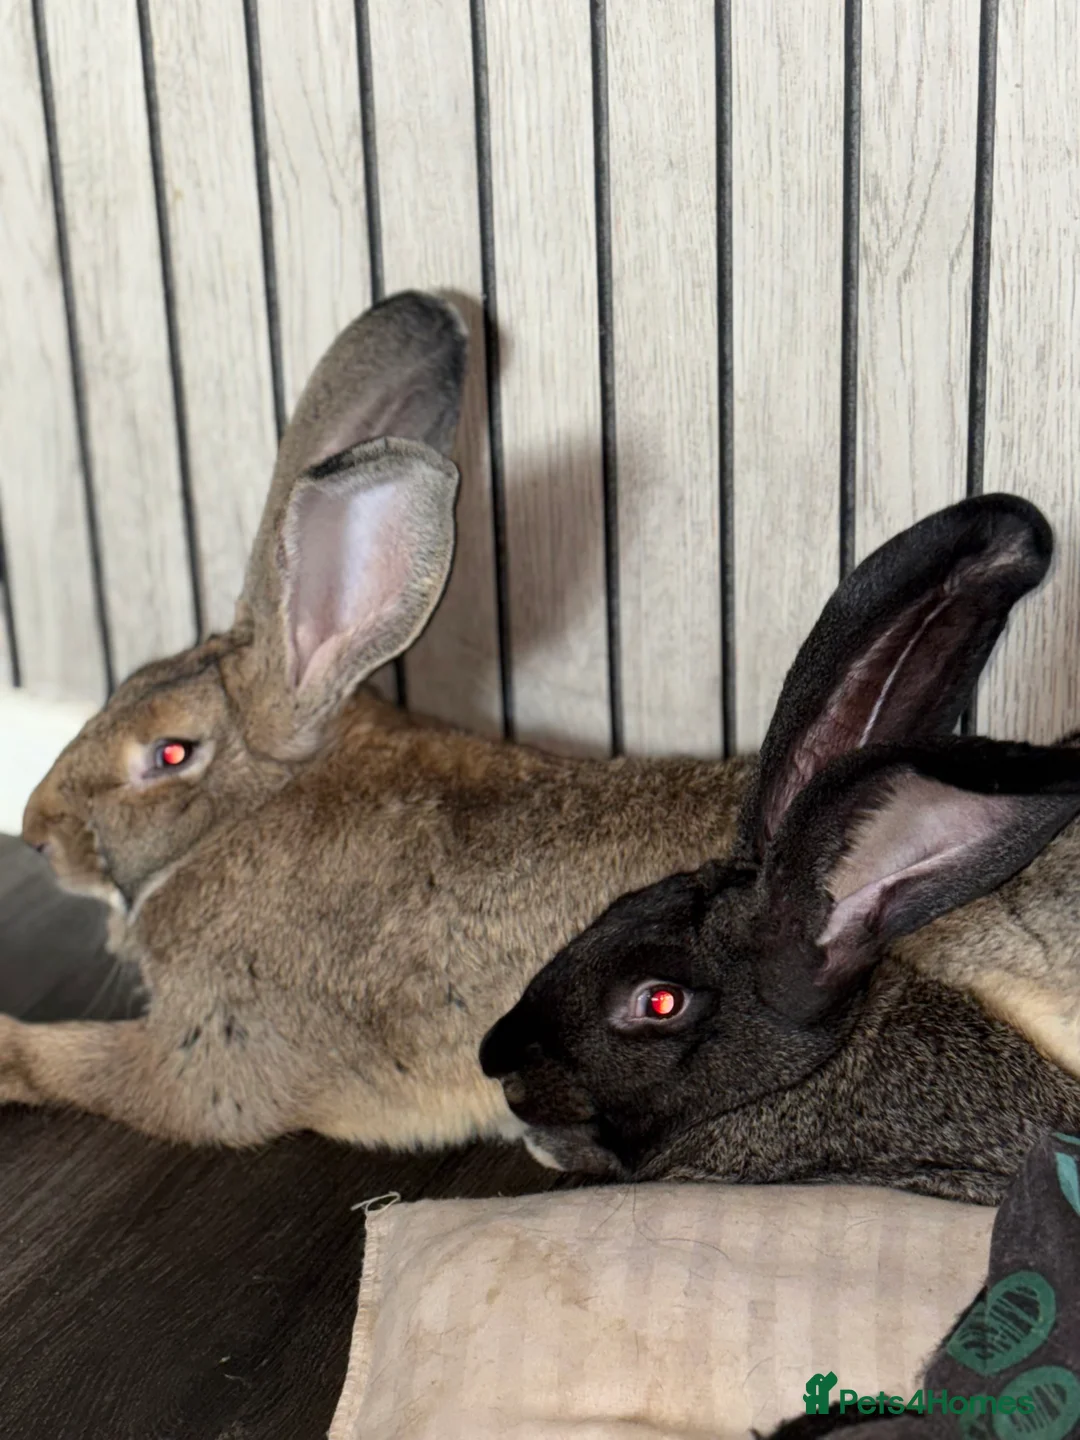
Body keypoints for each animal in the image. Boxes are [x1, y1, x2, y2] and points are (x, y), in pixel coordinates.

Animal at [9, 287, 1057, 1157]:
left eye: (169, 753)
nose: (37, 833)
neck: (242, 813)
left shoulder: (210, 1053)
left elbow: (99, 1069)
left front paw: (8, 1054)